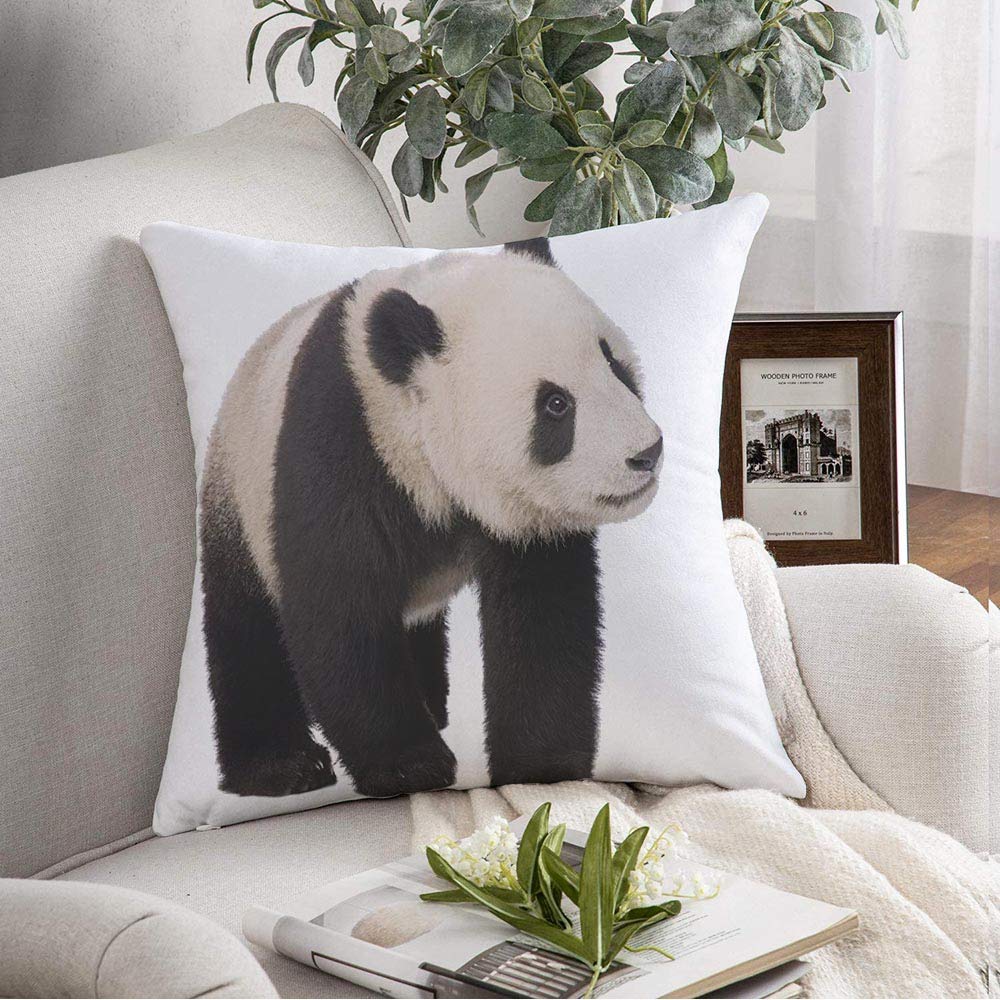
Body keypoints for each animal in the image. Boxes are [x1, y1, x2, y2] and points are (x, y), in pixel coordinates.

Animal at [200, 238, 663, 799]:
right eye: (556, 405)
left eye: (614, 364)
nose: (646, 454)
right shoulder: (337, 443)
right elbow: (340, 609)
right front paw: (409, 765)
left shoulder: (529, 516)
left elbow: (544, 616)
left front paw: (541, 759)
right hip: (240, 496)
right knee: (247, 630)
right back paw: (280, 765)